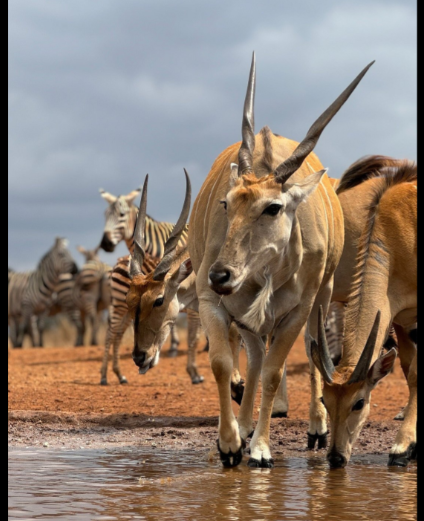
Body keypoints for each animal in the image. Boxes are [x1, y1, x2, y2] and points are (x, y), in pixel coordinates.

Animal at [187, 53, 372, 468]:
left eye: (273, 207)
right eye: (227, 203)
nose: (220, 274)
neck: (263, 273)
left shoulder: (297, 311)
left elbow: (274, 371)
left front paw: (260, 449)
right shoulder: (214, 302)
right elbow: (225, 364)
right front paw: (230, 443)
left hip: (324, 295)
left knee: (309, 349)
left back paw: (316, 428)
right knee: (255, 355)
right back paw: (244, 425)